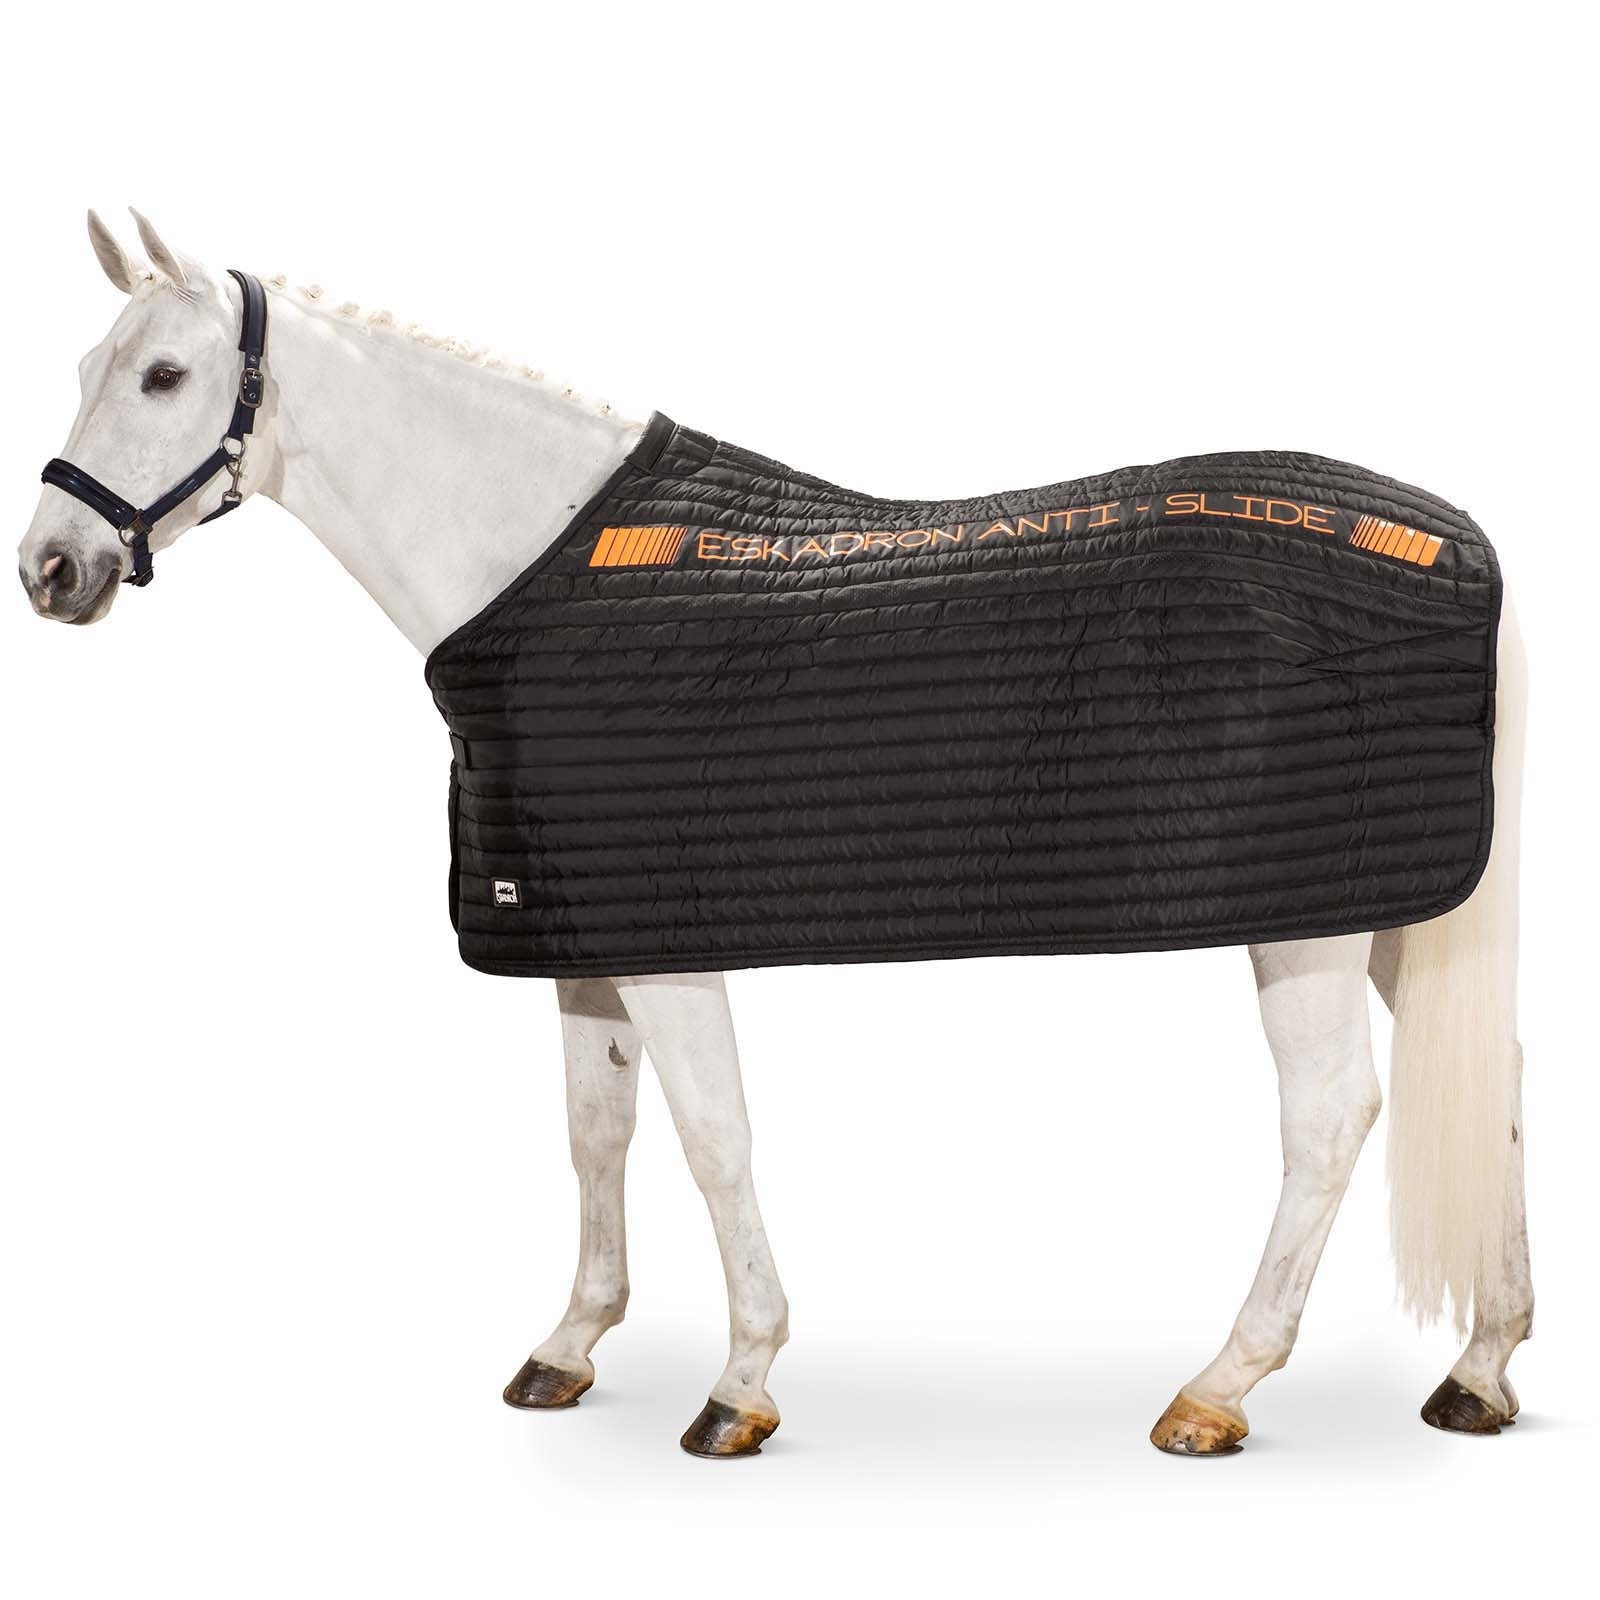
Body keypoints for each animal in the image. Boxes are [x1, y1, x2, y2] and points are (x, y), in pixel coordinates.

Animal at [17, 210, 1531, 1459]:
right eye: (93, 360)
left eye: (163, 377)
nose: (49, 570)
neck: (531, 562)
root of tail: (1467, 546)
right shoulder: (577, 931)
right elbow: (596, 1131)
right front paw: (570, 1346)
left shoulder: (671, 944)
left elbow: (712, 1138)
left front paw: (739, 1384)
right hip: (1401, 909)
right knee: (1502, 1089)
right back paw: (1481, 1367)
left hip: (1307, 922)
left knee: (1328, 1122)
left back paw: (1219, 1388)